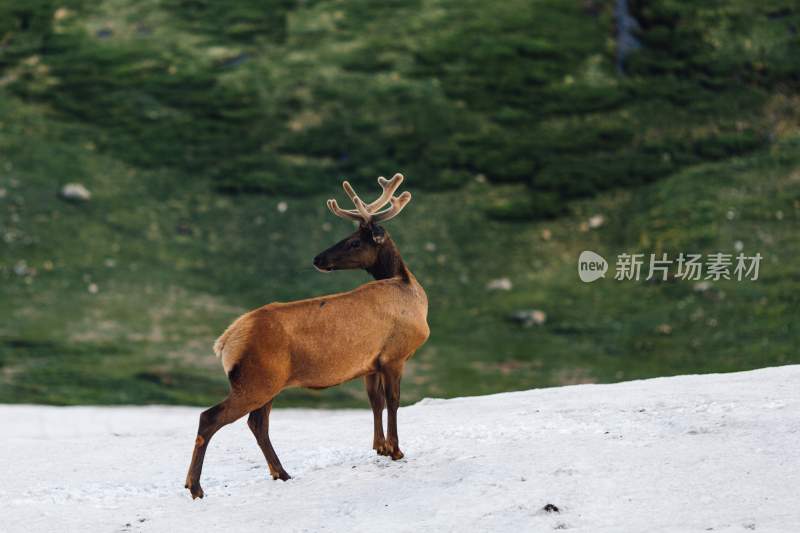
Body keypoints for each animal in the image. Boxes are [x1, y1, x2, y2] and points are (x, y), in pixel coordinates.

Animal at [184, 174, 428, 498]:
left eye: (354, 240)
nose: (318, 258)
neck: (410, 289)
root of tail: (224, 342)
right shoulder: (394, 356)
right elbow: (394, 400)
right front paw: (396, 450)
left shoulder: (371, 363)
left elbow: (375, 400)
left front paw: (381, 447)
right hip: (256, 381)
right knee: (210, 418)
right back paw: (195, 486)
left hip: (266, 383)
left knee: (257, 424)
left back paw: (281, 472)